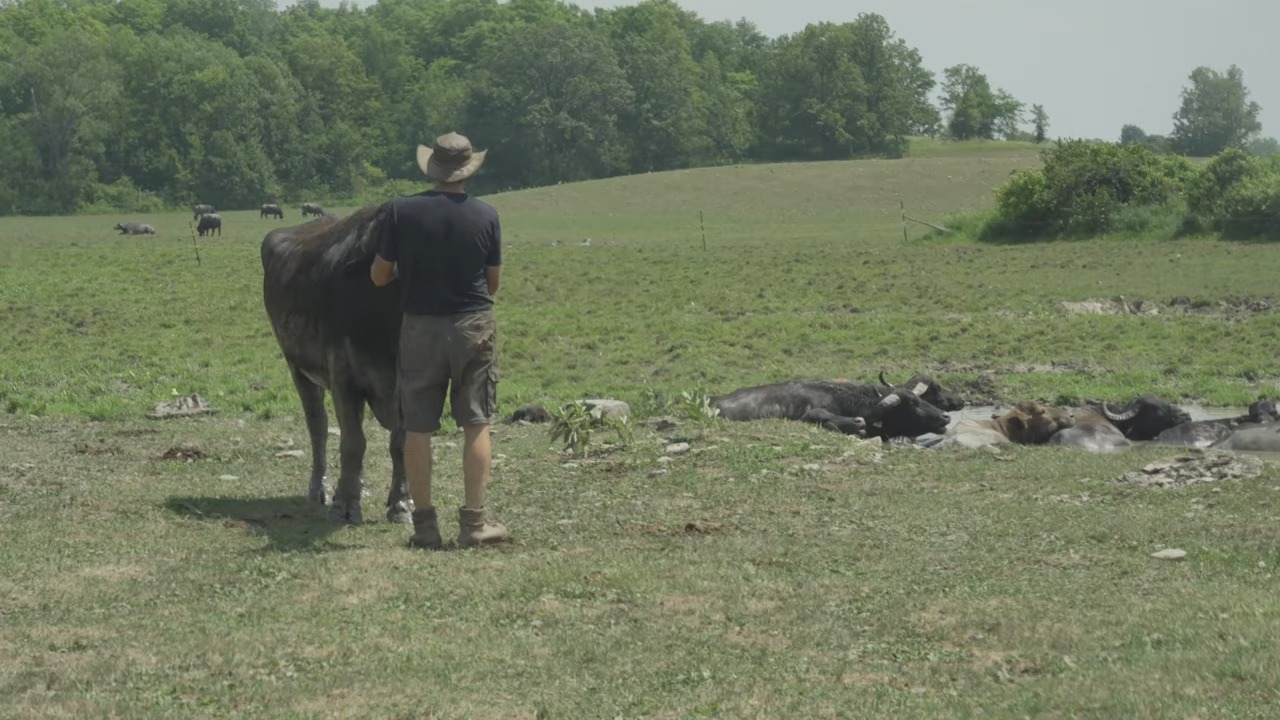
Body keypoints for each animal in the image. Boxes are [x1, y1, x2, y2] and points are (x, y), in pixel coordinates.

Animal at [262, 199, 412, 520]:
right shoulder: (343, 377)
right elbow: (353, 442)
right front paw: (345, 504)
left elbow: (400, 442)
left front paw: (402, 503)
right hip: (298, 368)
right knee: (318, 426)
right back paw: (320, 488)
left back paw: (360, 485)